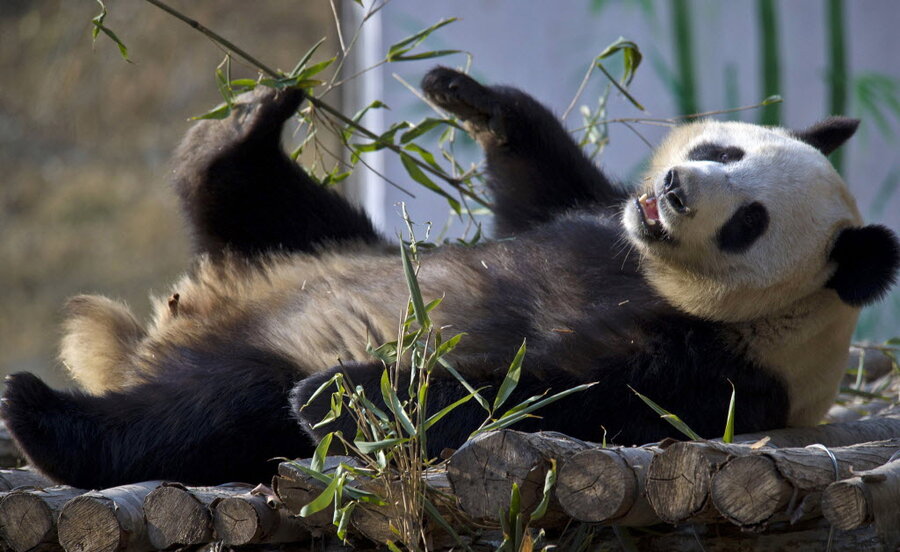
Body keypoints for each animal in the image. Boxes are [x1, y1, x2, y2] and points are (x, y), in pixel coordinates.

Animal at [1, 68, 900, 488]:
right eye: (724, 150)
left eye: (750, 221)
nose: (676, 190)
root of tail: (157, 338)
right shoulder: (598, 222)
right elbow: (542, 189)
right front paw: (471, 99)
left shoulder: (709, 372)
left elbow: (531, 396)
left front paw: (344, 391)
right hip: (315, 245)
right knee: (254, 199)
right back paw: (250, 122)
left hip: (240, 371)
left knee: (209, 412)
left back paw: (43, 414)